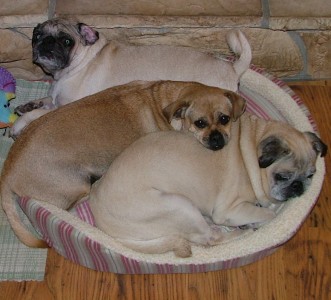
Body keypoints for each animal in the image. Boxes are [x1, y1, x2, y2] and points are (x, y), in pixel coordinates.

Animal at [11, 17, 253, 137]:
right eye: (37, 35)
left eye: (66, 41)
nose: (46, 43)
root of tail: (232, 68)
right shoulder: (55, 99)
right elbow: (44, 101)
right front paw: (27, 105)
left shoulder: (66, 105)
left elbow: (38, 114)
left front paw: (20, 123)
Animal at [88, 112, 326, 258]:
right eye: (283, 176)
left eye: (310, 175)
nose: (298, 186)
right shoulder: (230, 210)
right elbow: (270, 214)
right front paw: (259, 218)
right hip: (179, 205)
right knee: (209, 238)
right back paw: (238, 233)